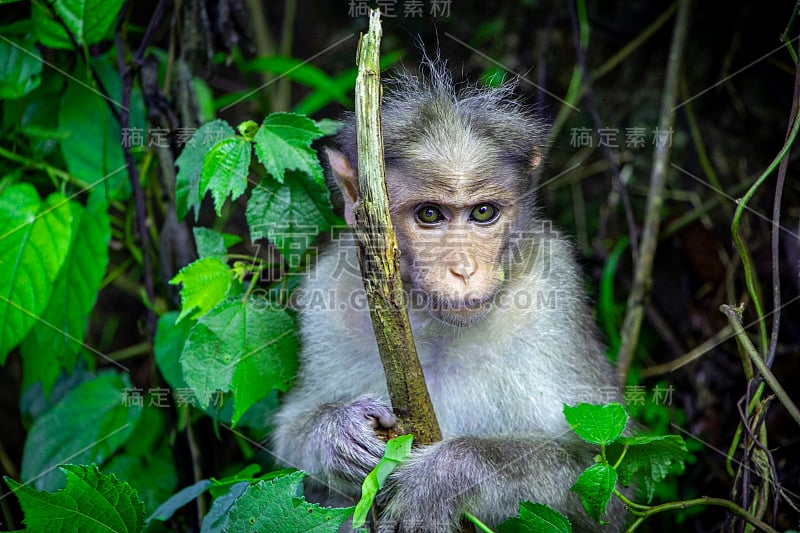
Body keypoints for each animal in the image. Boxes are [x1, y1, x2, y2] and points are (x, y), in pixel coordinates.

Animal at [272, 60, 628, 528]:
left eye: (483, 212)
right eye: (429, 215)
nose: (464, 269)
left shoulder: (555, 294)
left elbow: (603, 477)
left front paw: (444, 475)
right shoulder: (328, 296)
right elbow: (288, 437)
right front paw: (338, 433)